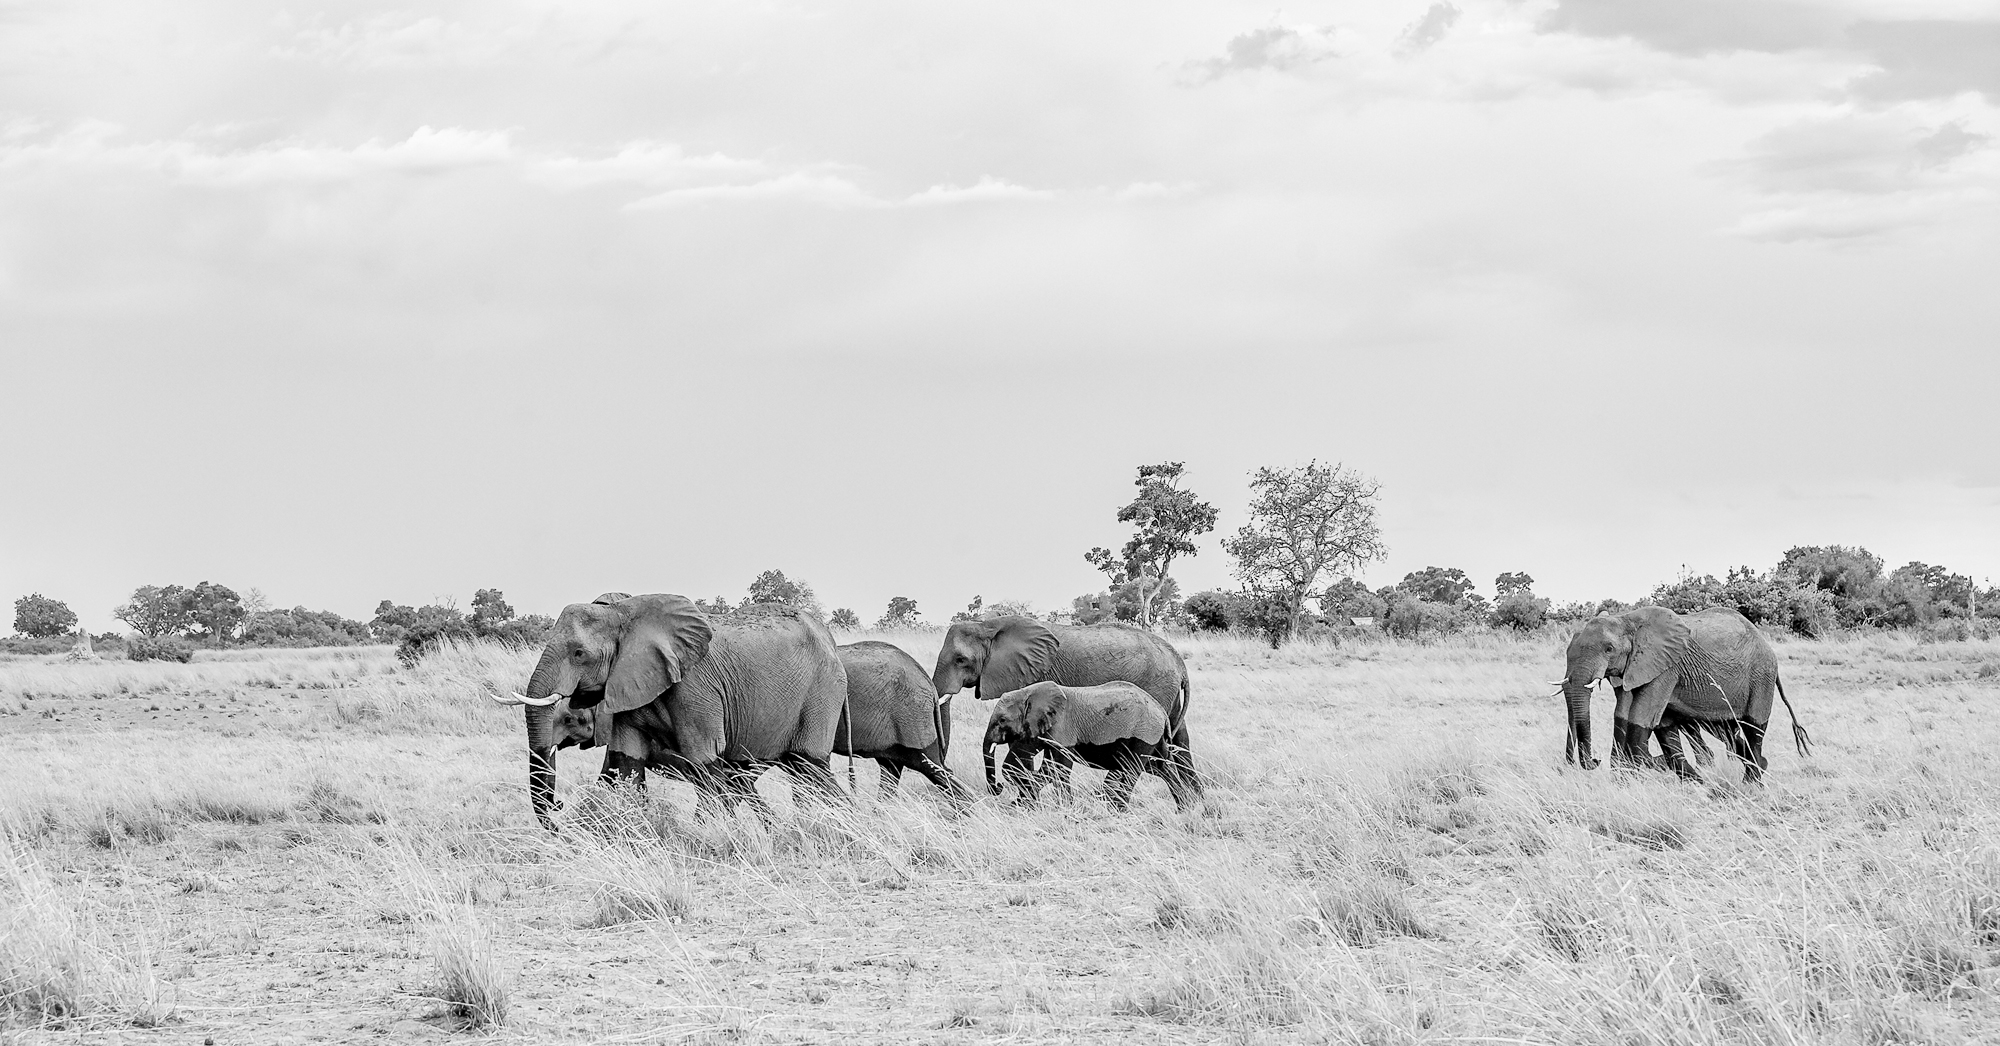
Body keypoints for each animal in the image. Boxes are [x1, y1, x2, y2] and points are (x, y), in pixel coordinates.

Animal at [932, 616, 1192, 796]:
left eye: (961, 660)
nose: (997, 788)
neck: (989, 625)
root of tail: (1180, 663)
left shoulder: (1034, 676)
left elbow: (1026, 743)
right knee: (1180, 741)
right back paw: (1194, 803)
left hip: (1157, 688)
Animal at [976, 684, 1192, 816]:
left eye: (1002, 720)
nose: (998, 788)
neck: (1029, 692)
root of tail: (1162, 712)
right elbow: (1046, 766)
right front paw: (1023, 804)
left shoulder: (1062, 727)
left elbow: (1058, 768)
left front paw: (1065, 809)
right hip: (1153, 736)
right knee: (1160, 767)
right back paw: (1183, 810)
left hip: (1142, 734)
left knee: (1132, 768)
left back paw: (1118, 811)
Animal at [1552, 600, 1824, 780]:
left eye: (1609, 649)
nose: (1594, 761)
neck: (1627, 619)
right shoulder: (1635, 668)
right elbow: (1626, 716)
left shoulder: (1666, 667)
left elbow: (1640, 718)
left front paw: (1643, 769)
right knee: (1731, 733)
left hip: (1761, 675)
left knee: (1753, 727)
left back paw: (1752, 782)